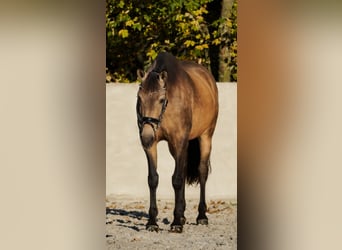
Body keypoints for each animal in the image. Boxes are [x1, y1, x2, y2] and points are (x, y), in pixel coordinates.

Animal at [135, 51, 218, 233]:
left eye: (161, 99)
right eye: (140, 98)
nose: (146, 137)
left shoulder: (180, 141)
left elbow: (177, 180)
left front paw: (176, 223)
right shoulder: (152, 146)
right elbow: (153, 179)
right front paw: (152, 222)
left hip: (206, 136)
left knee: (202, 171)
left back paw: (201, 216)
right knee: (185, 167)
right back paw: (183, 215)